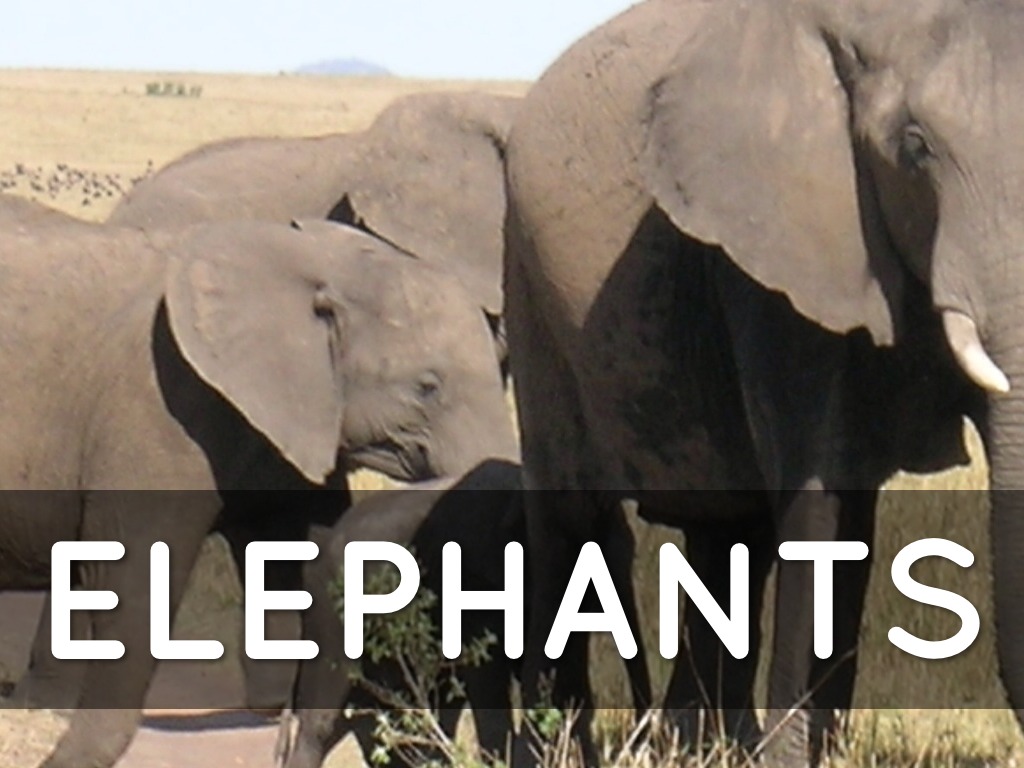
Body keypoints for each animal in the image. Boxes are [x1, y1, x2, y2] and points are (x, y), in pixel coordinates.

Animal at [503, 0, 1024, 764]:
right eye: (915, 147)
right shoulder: (771, 256)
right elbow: (818, 490)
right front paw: (787, 756)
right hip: (526, 278)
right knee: (567, 516)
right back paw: (560, 748)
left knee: (729, 533)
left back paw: (697, 743)